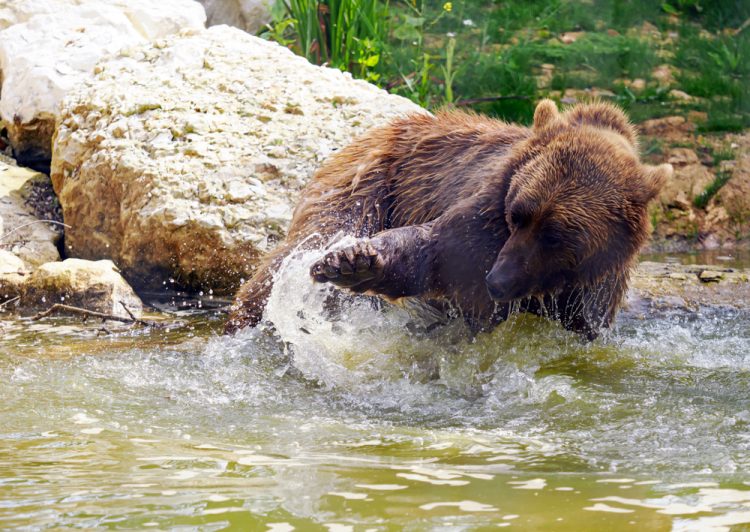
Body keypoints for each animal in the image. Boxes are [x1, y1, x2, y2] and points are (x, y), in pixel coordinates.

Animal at [225, 99, 670, 340]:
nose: (498, 280)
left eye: (557, 235)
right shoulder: (485, 210)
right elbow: (433, 251)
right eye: (518, 215)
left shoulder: (594, 288)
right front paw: (352, 261)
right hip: (371, 184)